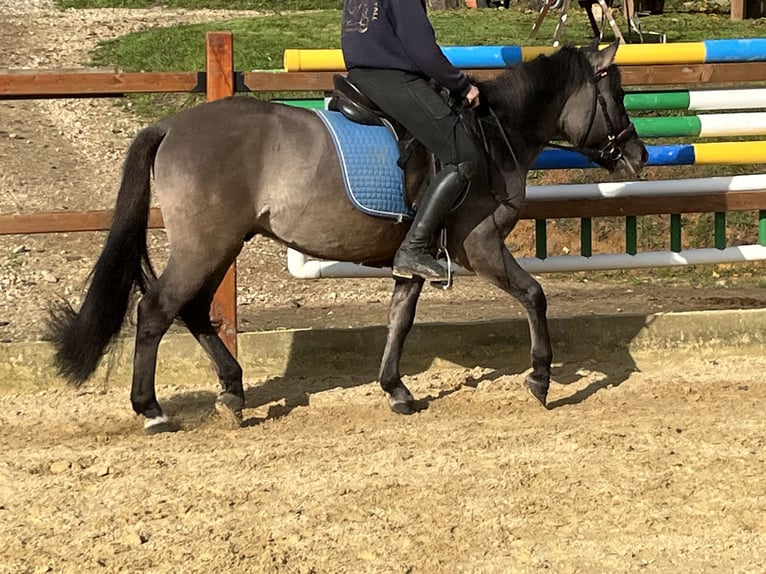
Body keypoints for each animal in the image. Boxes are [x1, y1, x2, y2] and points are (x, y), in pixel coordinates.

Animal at [48, 41, 648, 436]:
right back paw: (151, 409)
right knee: (156, 310)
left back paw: (234, 393)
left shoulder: (415, 256)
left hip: (221, 244)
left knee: (192, 311)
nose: (638, 155)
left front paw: (396, 390)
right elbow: (534, 295)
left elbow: (400, 317)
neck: (492, 133)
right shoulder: (480, 246)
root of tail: (172, 125)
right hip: (206, 245)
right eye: (616, 94)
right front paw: (541, 377)